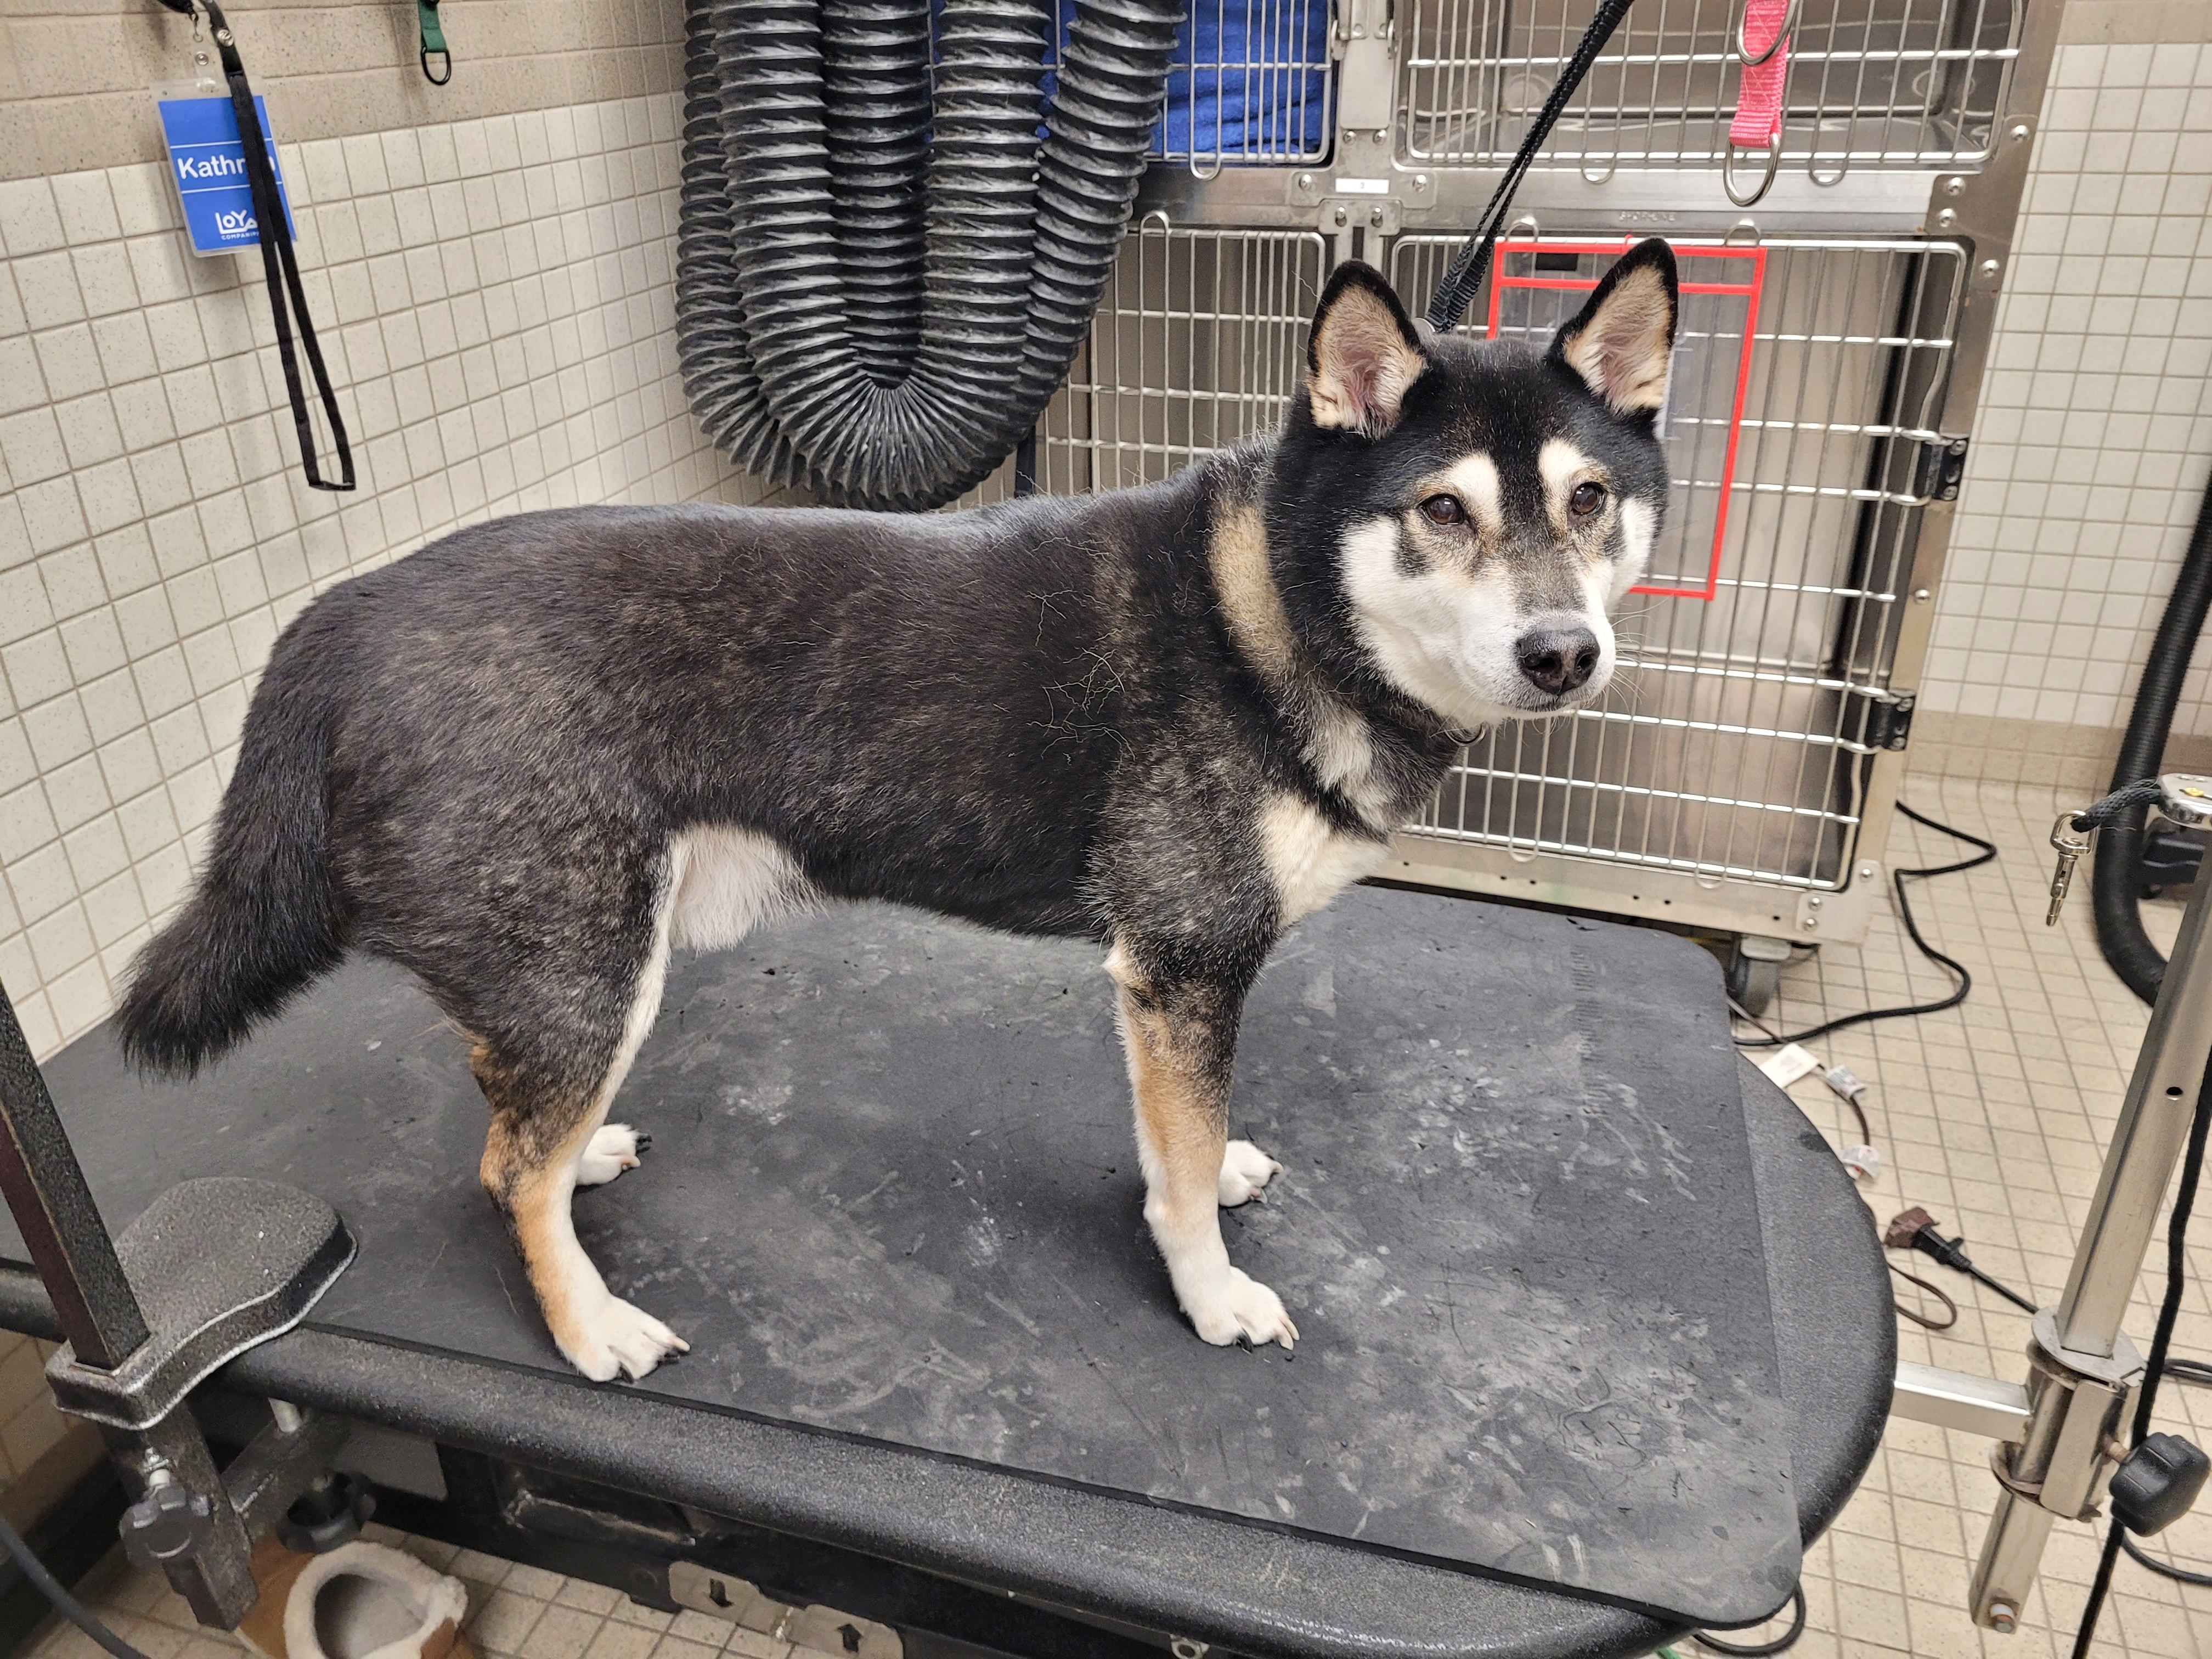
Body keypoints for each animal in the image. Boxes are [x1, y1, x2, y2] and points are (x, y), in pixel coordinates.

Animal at [118, 241, 1678, 1382]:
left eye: (1591, 499)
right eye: (1443, 512)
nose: (1564, 653)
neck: (1280, 613)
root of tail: (342, 616)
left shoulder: (1167, 992)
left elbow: (1180, 1141)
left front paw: (1218, 1170)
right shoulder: (1184, 961)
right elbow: (1173, 1185)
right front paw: (1211, 1296)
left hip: (562, 970)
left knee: (509, 1139)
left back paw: (583, 1156)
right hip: (587, 966)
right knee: (512, 1167)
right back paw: (590, 1325)